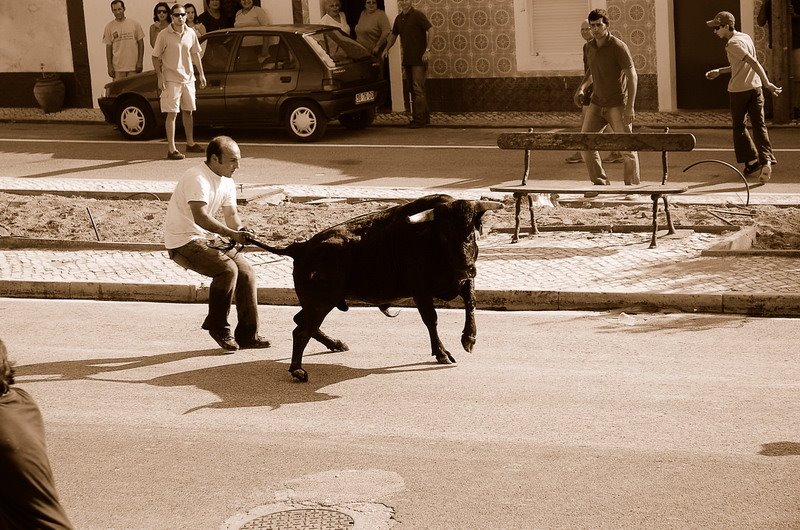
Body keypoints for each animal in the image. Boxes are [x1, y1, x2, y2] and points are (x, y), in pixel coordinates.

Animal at [247, 194, 504, 380]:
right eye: (444, 234)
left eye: (471, 231)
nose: (466, 266)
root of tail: (300, 247)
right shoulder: (420, 291)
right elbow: (431, 320)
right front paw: (442, 353)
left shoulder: (464, 281)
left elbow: (471, 303)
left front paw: (469, 338)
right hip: (321, 302)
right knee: (301, 331)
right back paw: (298, 370)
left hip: (317, 302)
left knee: (301, 322)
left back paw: (334, 344)